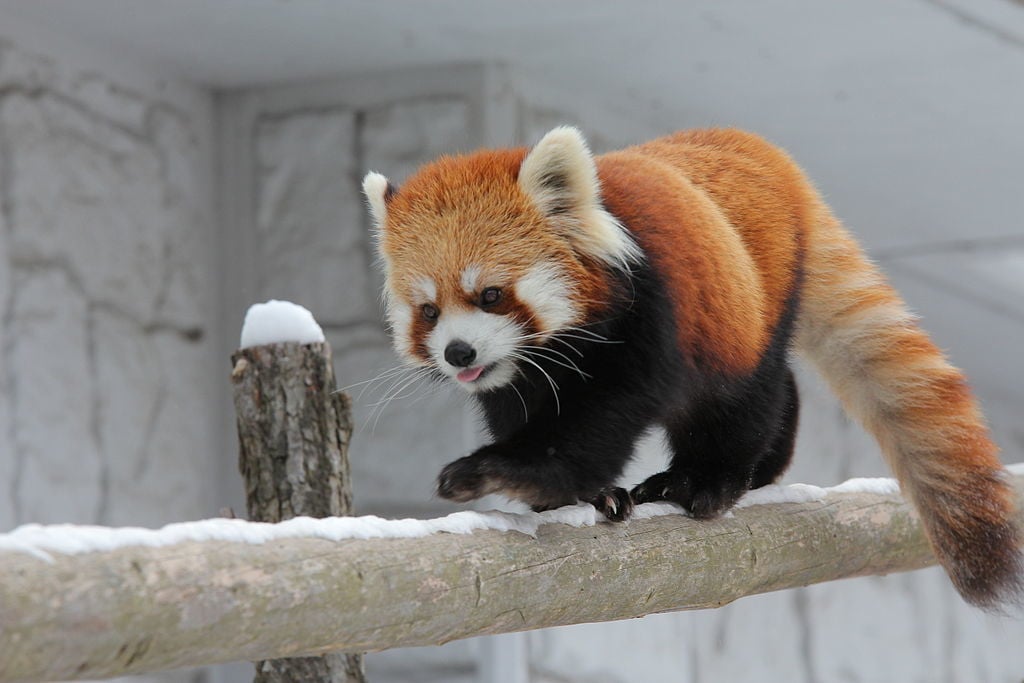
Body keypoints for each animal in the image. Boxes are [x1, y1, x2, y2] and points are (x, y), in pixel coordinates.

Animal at [364, 125, 1019, 606]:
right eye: (428, 311)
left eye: (491, 295)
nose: (459, 353)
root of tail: (765, 154)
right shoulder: (521, 378)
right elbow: (532, 416)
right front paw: (579, 495)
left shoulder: (649, 318)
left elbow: (594, 424)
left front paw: (507, 473)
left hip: (746, 304)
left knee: (744, 397)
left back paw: (710, 478)